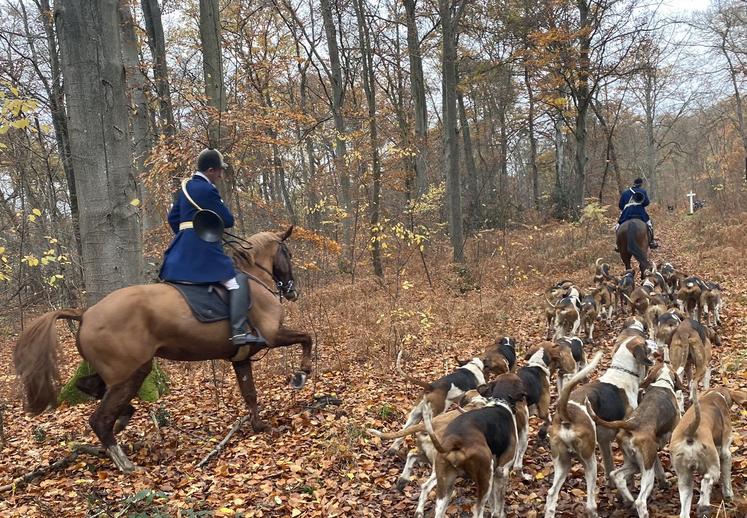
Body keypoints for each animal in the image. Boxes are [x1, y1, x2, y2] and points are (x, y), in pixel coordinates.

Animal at [14, 228, 312, 476]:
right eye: (287, 254)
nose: (292, 291)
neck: (254, 281)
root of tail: (85, 314)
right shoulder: (272, 336)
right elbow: (307, 337)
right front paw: (302, 374)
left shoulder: (241, 359)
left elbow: (250, 394)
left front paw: (260, 427)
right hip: (132, 371)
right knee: (99, 419)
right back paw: (126, 464)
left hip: (119, 372)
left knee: (89, 389)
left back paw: (122, 422)